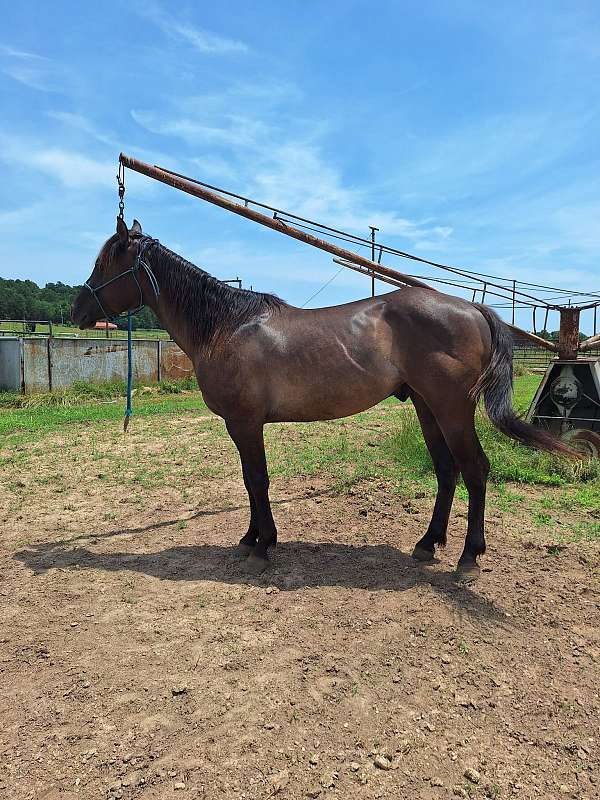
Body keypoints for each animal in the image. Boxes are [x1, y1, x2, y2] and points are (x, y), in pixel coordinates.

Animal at [71, 218, 570, 581]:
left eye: (106, 263)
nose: (78, 310)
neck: (226, 326)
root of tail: (473, 309)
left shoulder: (245, 423)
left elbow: (257, 481)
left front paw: (263, 546)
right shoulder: (241, 426)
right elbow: (249, 482)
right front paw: (251, 539)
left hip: (452, 411)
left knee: (475, 471)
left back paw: (469, 559)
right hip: (427, 408)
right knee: (447, 472)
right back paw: (427, 545)